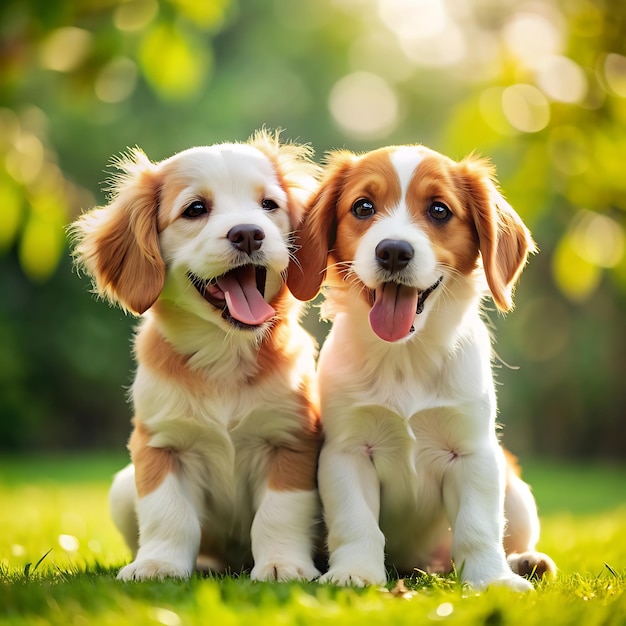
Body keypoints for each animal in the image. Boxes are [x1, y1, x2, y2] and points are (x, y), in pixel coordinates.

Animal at [73, 130, 322, 580]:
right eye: (196, 209)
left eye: (268, 205)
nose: (248, 233)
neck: (223, 353)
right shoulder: (161, 445)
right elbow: (167, 513)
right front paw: (157, 564)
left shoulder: (290, 440)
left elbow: (280, 513)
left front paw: (282, 564)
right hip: (122, 487)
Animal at [286, 144, 552, 588]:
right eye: (363, 206)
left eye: (439, 210)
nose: (393, 251)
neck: (404, 357)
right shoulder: (347, 452)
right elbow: (356, 522)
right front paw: (354, 572)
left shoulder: (473, 452)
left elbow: (478, 526)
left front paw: (490, 580)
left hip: (515, 491)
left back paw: (524, 561)